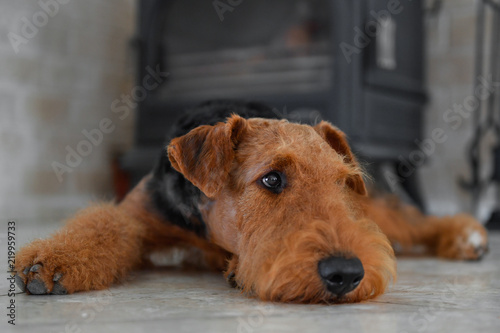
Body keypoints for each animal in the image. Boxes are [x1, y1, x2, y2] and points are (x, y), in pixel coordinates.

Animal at [14, 100, 488, 302]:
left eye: (341, 183)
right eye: (272, 178)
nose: (346, 274)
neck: (205, 231)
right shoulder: (134, 216)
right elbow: (100, 226)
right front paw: (48, 263)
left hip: (376, 207)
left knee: (414, 222)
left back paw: (467, 236)